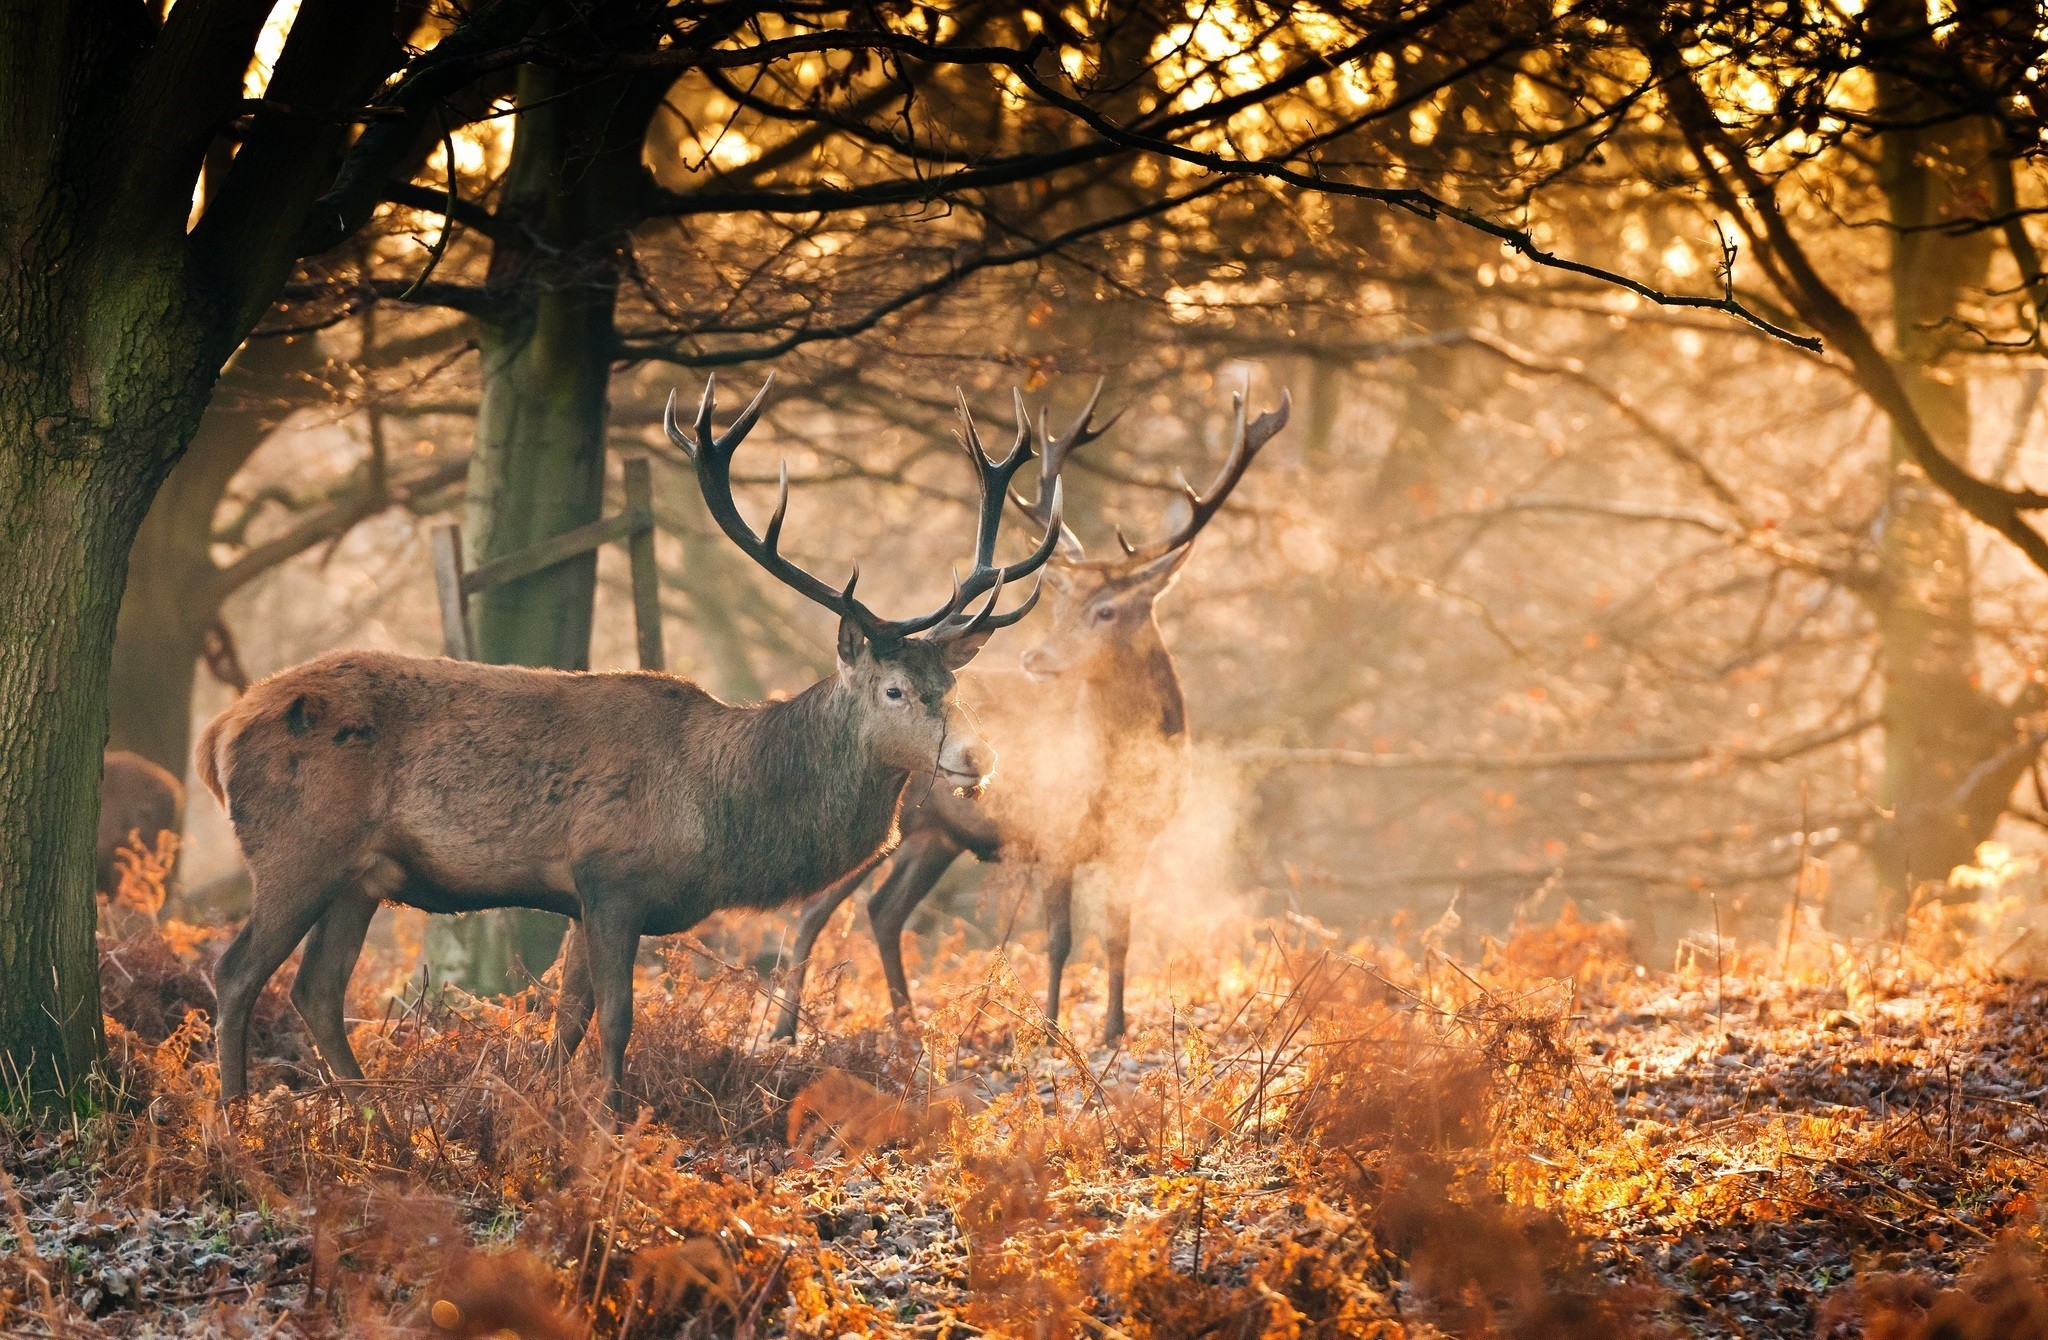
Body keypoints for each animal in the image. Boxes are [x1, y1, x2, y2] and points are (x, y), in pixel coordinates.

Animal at [198, 377, 1062, 1116]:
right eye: (894, 690)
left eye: (951, 683)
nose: (979, 757)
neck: (720, 811)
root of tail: (219, 730)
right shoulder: (611, 875)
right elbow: (615, 1018)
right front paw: (610, 1128)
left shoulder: (580, 895)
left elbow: (567, 1020)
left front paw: (545, 1117)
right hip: (297, 848)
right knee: (236, 972)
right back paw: (236, 1124)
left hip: (361, 875)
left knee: (316, 989)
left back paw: (372, 1114)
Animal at [771, 381, 1289, 1046]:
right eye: (1059, 605)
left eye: (1108, 610)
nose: (1036, 657)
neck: (1117, 774)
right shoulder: (1055, 832)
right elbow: (1061, 939)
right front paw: (1048, 1030)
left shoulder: (1135, 843)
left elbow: (1119, 937)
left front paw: (1114, 1030)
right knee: (814, 909)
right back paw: (786, 1031)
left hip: (936, 833)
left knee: (885, 910)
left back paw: (907, 1024)